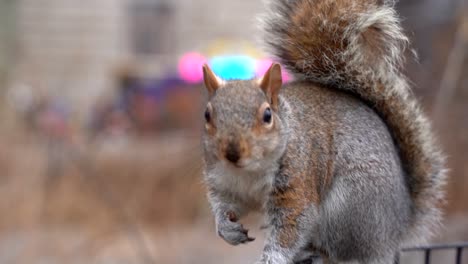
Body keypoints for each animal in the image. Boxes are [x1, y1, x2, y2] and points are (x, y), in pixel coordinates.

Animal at [200, 0, 446, 262]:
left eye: (267, 116)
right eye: (207, 115)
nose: (232, 153)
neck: (248, 172)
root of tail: (398, 229)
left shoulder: (297, 180)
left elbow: (293, 225)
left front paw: (271, 258)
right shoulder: (223, 182)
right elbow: (224, 205)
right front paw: (226, 228)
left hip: (349, 209)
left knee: (343, 253)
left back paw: (317, 253)